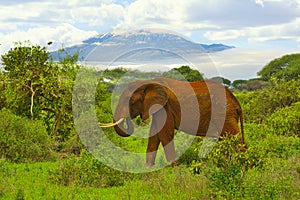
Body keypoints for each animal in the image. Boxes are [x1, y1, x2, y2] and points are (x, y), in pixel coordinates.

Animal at [99, 77, 245, 166]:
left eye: (129, 100)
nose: (129, 117)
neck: (148, 82)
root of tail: (237, 103)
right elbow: (154, 136)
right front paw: (148, 169)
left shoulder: (165, 107)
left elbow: (165, 134)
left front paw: (175, 170)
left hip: (224, 113)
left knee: (234, 138)